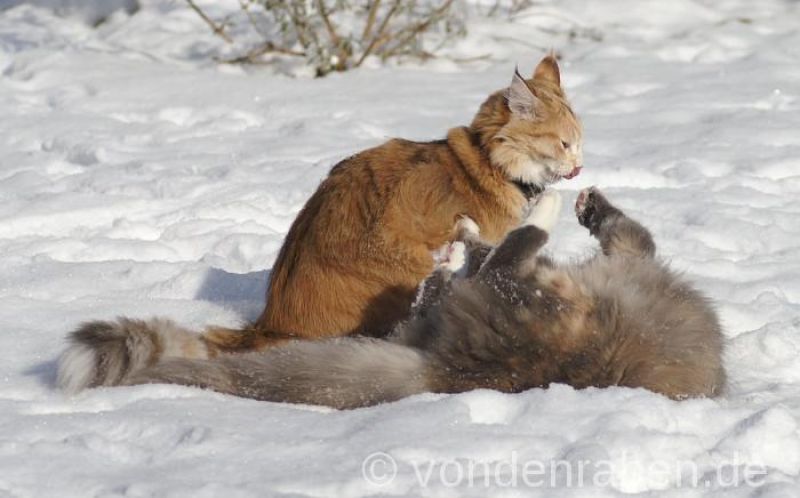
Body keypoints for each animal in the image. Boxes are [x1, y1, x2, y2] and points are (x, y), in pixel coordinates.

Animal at [57, 187, 724, 408]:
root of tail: (445, 374)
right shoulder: (630, 253)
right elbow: (626, 228)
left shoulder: (630, 256)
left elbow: (626, 231)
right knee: (493, 265)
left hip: (547, 315)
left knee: (505, 262)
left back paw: (523, 222)